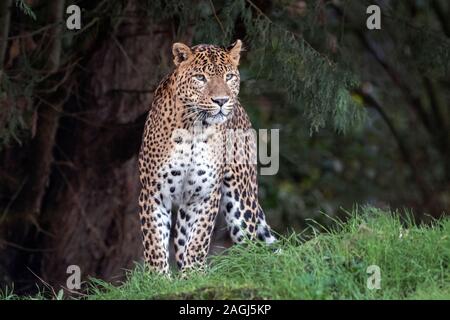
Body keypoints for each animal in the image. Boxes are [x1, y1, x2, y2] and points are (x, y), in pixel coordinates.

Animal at [139, 40, 276, 276]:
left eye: (229, 76)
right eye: (200, 78)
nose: (221, 100)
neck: (194, 128)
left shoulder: (205, 193)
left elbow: (199, 238)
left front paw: (194, 273)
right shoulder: (153, 192)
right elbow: (154, 240)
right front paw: (158, 278)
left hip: (241, 203)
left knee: (252, 246)